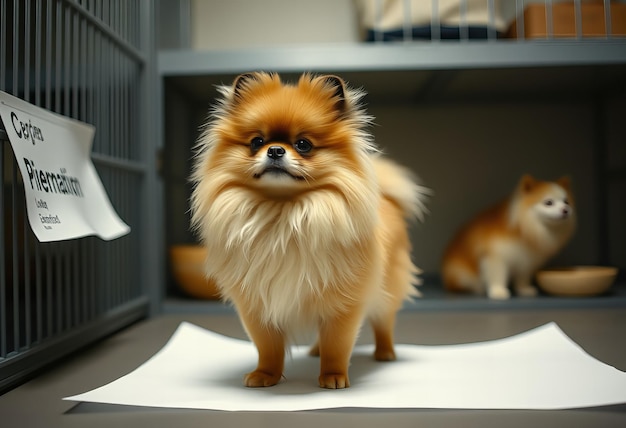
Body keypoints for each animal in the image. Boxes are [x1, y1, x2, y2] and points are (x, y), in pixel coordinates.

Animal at [189, 72, 428, 388]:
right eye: (257, 141)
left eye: (303, 144)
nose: (275, 149)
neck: (283, 213)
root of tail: (387, 198)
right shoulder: (256, 306)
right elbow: (267, 346)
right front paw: (265, 375)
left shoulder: (343, 305)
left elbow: (337, 345)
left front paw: (333, 376)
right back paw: (315, 351)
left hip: (388, 289)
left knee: (384, 322)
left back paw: (385, 353)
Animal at [442, 173, 572, 298]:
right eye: (549, 203)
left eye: (566, 202)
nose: (565, 210)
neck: (523, 231)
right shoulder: (496, 256)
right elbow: (497, 275)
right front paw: (498, 291)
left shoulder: (526, 261)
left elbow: (522, 278)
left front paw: (524, 289)